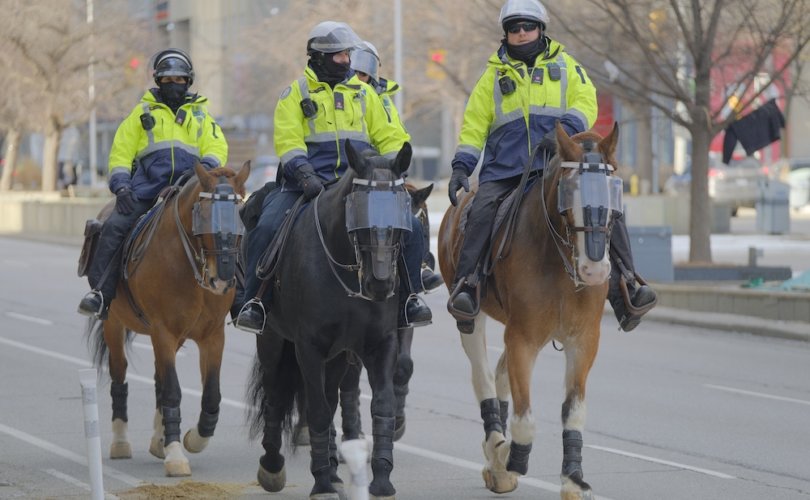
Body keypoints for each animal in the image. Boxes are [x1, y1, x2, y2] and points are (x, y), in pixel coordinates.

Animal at [84, 163, 249, 476]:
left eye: (240, 214)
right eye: (202, 214)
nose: (222, 279)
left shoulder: (212, 337)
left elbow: (211, 395)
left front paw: (193, 439)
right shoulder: (164, 332)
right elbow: (172, 391)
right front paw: (175, 453)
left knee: (158, 379)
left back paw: (158, 440)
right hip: (115, 325)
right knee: (120, 376)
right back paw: (121, 442)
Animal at [245, 142, 410, 500]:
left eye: (401, 212)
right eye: (358, 212)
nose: (380, 284)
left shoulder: (381, 344)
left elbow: (382, 404)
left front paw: (381, 479)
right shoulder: (309, 348)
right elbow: (316, 410)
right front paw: (320, 482)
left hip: (337, 355)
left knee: (332, 397)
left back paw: (334, 470)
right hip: (273, 340)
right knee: (275, 395)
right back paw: (274, 466)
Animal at [436, 122, 620, 500]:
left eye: (614, 195)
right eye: (567, 196)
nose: (594, 271)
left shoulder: (584, 342)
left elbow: (573, 410)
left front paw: (573, 478)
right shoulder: (523, 338)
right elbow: (524, 421)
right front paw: (509, 459)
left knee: (500, 374)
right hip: (472, 318)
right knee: (483, 377)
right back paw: (495, 446)